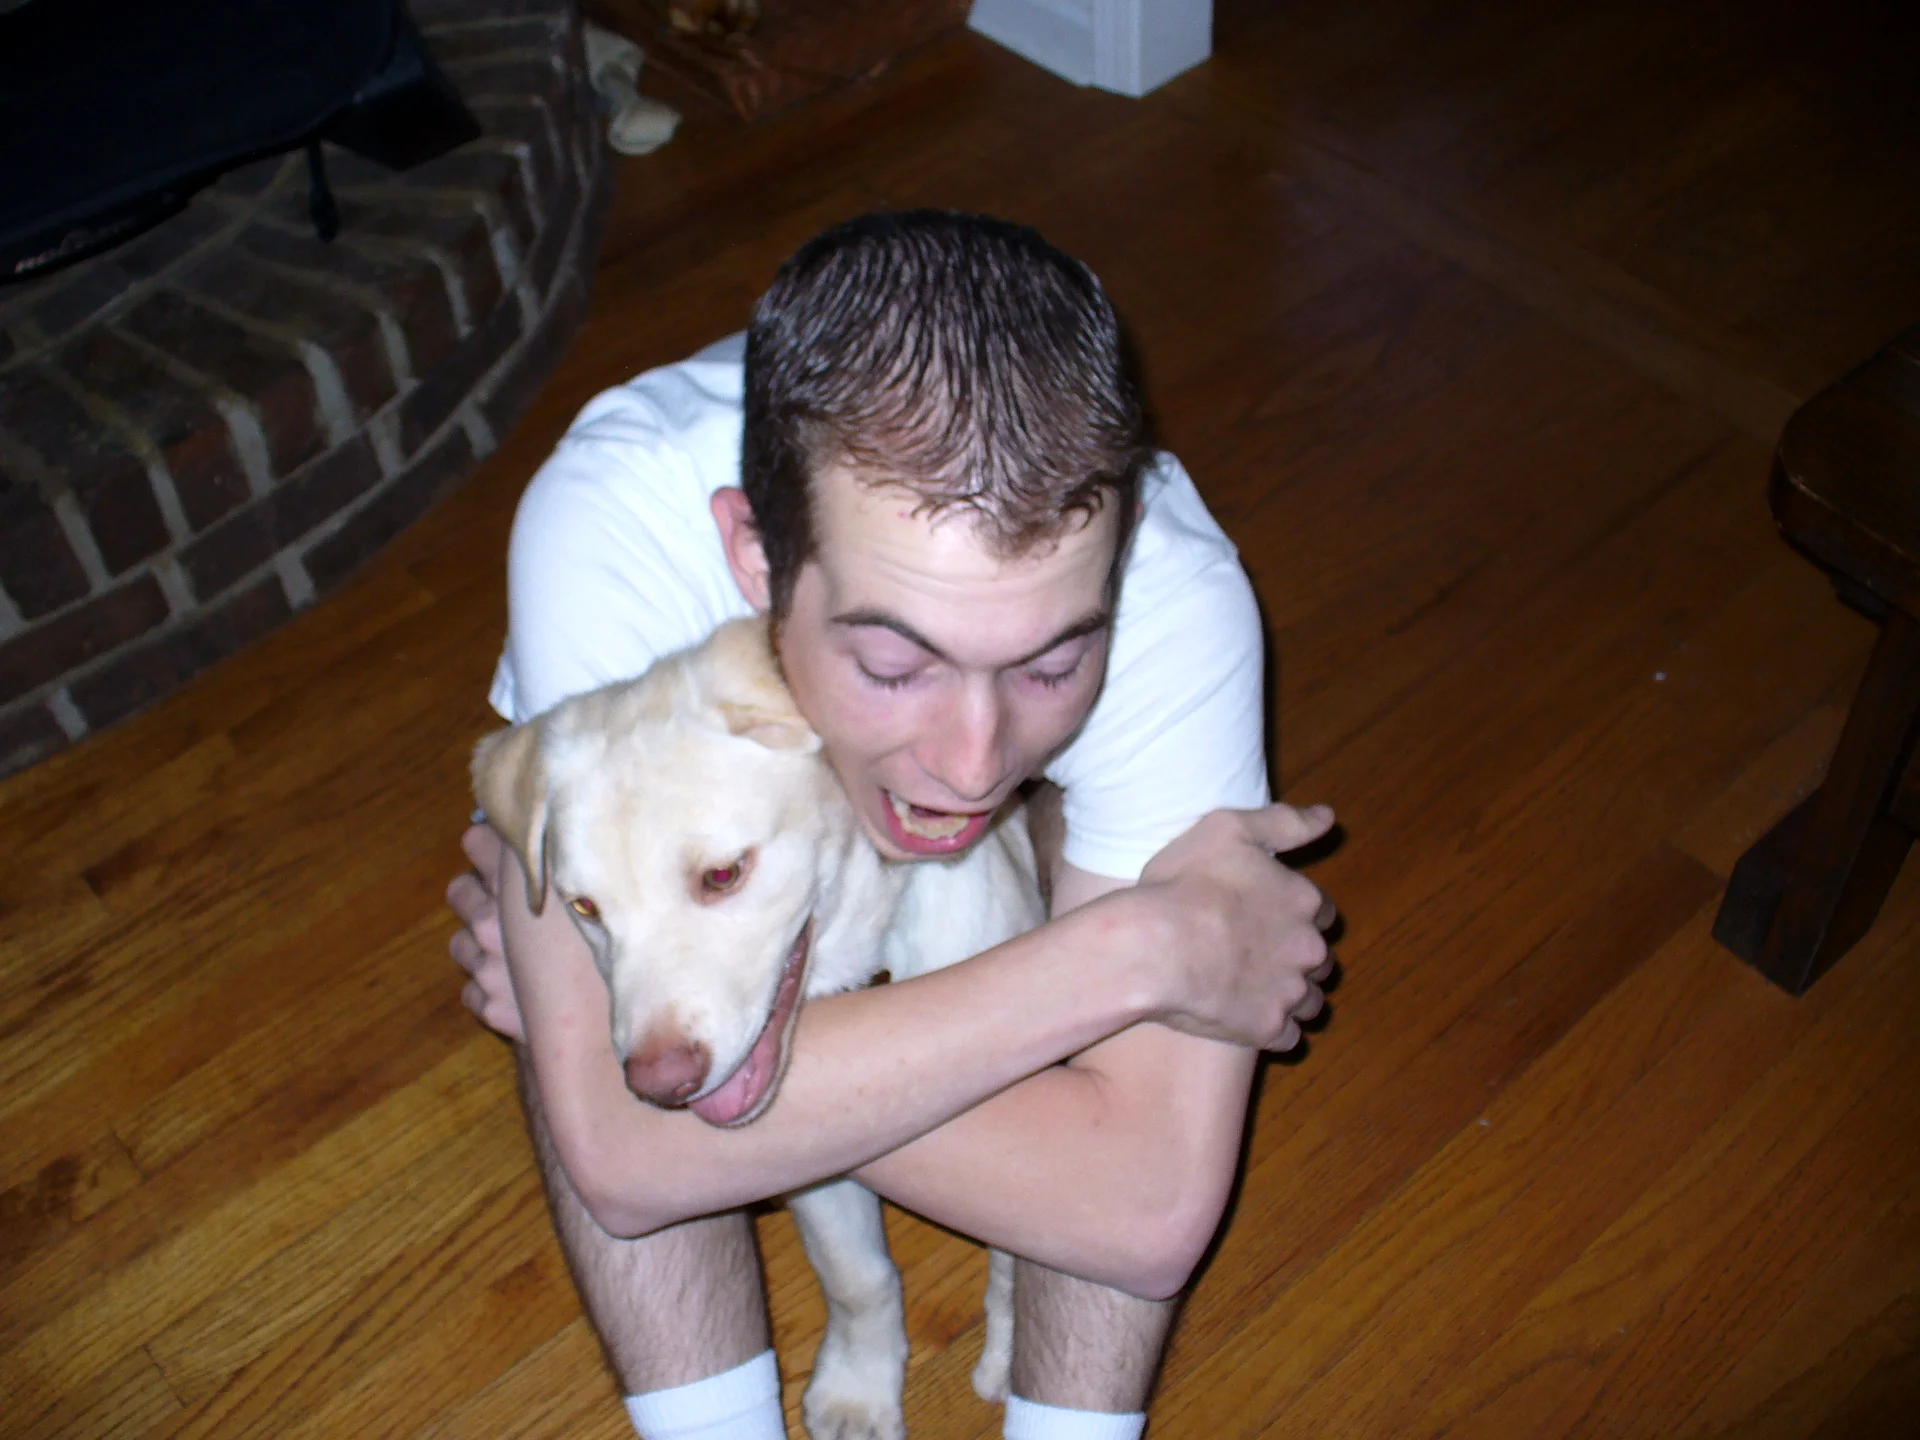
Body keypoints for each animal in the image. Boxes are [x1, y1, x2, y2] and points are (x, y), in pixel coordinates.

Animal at [473, 615, 1044, 1440]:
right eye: (584, 908)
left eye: (723, 875)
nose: (659, 1085)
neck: (868, 958)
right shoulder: (815, 1155)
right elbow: (856, 1276)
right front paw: (860, 1389)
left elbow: (1017, 1260)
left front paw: (1011, 1353)